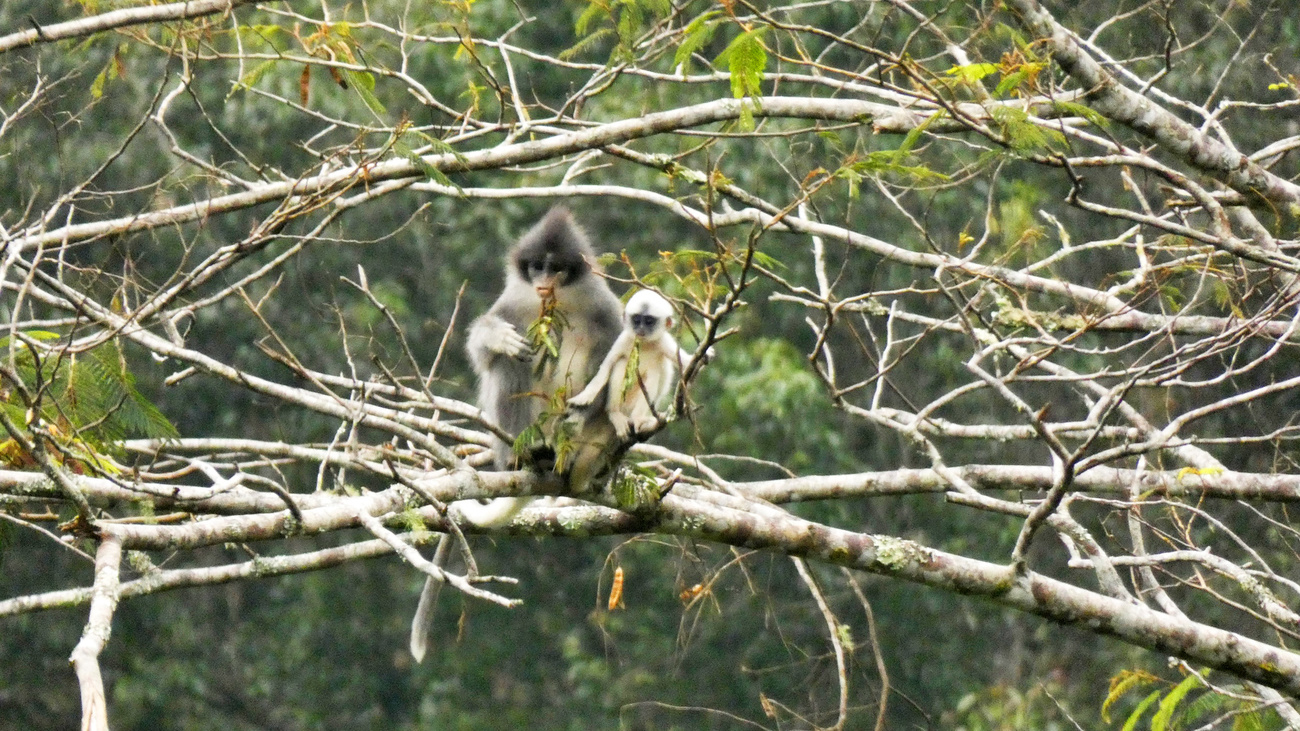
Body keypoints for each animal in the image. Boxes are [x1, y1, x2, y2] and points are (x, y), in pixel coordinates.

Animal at [410, 205, 624, 660]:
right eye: (537, 266)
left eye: (557, 268)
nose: (544, 280)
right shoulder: (516, 301)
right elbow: (485, 351)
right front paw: (495, 337)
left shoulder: (603, 306)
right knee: (509, 366)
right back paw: (526, 457)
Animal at [572, 288, 712, 437]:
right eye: (637, 320)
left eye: (649, 321)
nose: (641, 329)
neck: (644, 344)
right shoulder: (624, 339)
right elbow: (606, 368)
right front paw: (583, 397)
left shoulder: (664, 342)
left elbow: (688, 364)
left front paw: (705, 355)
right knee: (621, 364)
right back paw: (615, 414)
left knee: (654, 371)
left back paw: (637, 418)